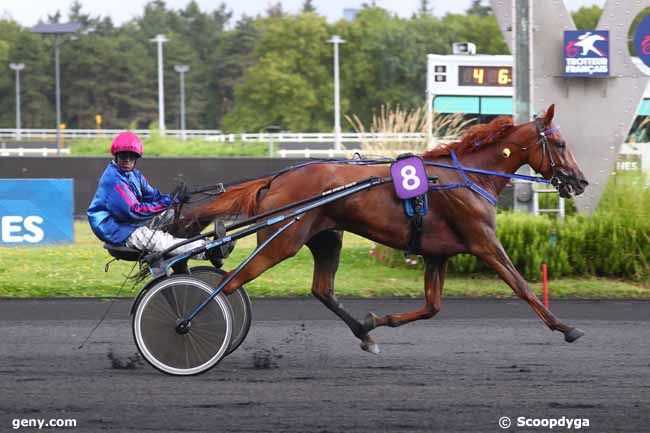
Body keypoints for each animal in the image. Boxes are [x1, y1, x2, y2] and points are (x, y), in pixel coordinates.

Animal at [170, 103, 584, 352]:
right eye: (561, 143)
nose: (580, 183)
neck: (467, 177)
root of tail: (276, 179)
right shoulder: (483, 242)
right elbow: (523, 287)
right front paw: (565, 327)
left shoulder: (437, 254)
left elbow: (432, 307)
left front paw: (377, 320)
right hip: (282, 241)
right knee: (229, 284)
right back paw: (188, 324)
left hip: (326, 238)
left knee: (322, 289)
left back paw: (364, 333)